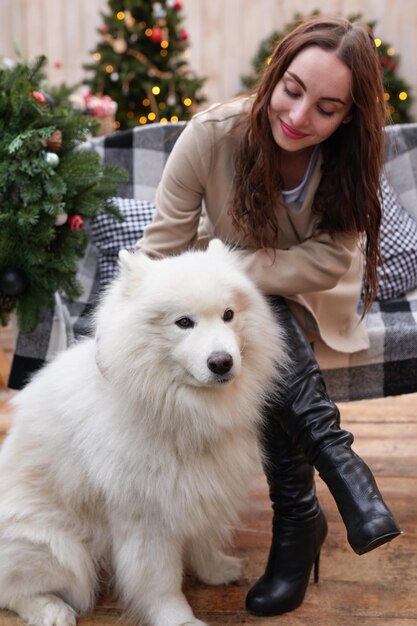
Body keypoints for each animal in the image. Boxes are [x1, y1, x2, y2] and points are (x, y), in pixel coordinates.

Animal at [0, 238, 284, 624]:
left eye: (229, 314)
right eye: (183, 322)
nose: (222, 362)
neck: (180, 409)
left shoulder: (202, 489)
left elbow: (204, 539)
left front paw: (215, 571)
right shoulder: (148, 516)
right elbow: (160, 580)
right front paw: (179, 619)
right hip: (55, 548)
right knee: (15, 590)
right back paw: (52, 610)